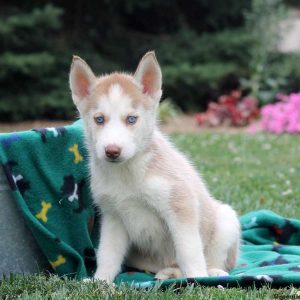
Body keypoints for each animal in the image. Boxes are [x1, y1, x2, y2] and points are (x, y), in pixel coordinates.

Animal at [69, 52, 240, 284]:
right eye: (99, 119)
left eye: (131, 119)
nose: (112, 151)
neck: (127, 174)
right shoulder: (113, 217)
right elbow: (108, 253)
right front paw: (101, 281)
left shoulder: (180, 206)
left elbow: (189, 251)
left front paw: (198, 278)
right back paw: (169, 273)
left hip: (226, 219)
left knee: (213, 260)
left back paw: (212, 273)